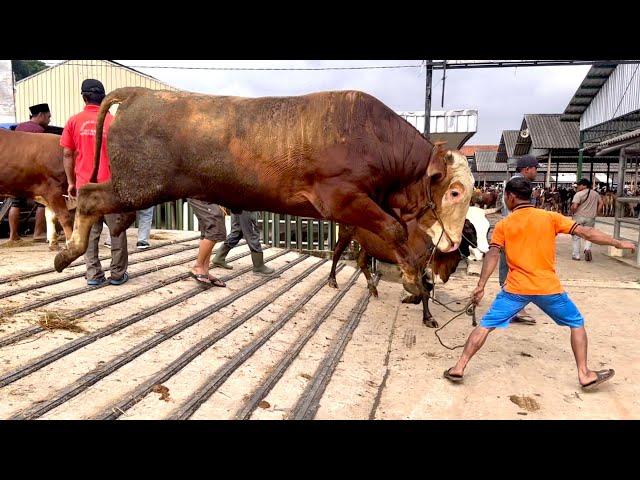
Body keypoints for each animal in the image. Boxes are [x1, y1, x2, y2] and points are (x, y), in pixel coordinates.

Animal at [55, 87, 472, 296]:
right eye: (454, 192)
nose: (454, 242)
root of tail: (141, 93)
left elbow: (397, 234)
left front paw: (415, 277)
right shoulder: (341, 198)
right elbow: (394, 229)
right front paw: (412, 279)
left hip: (137, 187)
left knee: (101, 208)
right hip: (140, 184)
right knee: (88, 196)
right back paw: (66, 253)